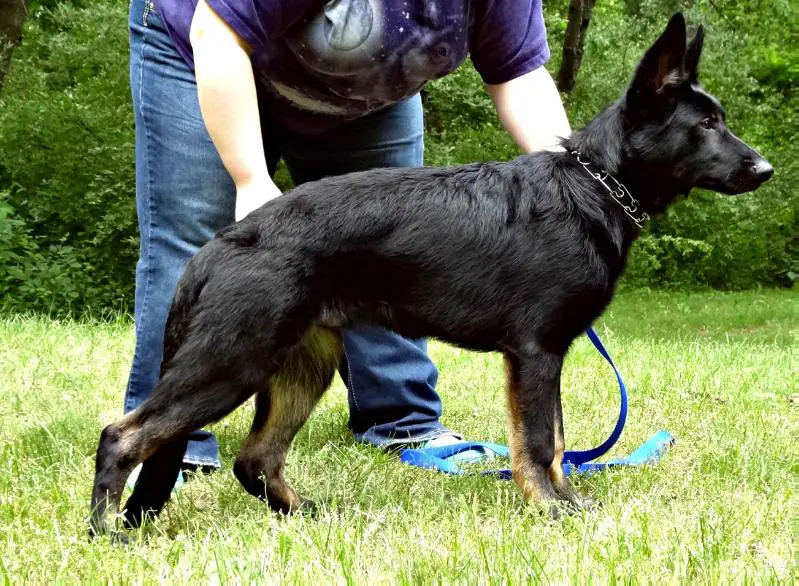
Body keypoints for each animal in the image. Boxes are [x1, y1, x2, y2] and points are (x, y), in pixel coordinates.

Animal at [89, 12, 773, 539]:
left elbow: (553, 440)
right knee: (123, 436)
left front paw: (565, 502)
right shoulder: (535, 354)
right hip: (231, 363)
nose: (765, 170)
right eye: (705, 125)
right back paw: (105, 533)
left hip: (298, 369)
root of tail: (216, 249)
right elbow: (539, 443)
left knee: (254, 460)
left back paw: (308, 515)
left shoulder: (543, 357)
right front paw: (552, 510)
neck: (593, 186)